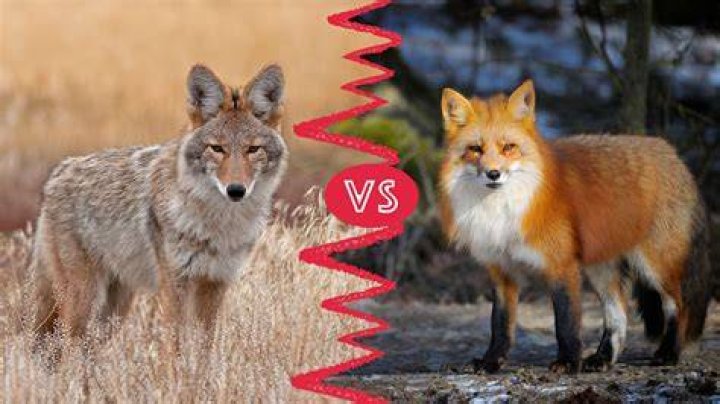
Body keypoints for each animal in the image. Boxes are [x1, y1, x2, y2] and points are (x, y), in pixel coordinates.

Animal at [29, 64, 287, 336]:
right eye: (217, 149)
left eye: (253, 150)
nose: (236, 190)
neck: (220, 224)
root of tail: (59, 171)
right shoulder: (174, 286)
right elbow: (175, 345)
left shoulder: (214, 285)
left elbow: (204, 345)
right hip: (84, 303)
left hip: (115, 309)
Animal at [439, 80, 712, 374]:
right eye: (475, 149)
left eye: (508, 147)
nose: (493, 174)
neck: (503, 211)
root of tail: (673, 153)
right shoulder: (502, 271)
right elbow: (500, 325)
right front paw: (491, 362)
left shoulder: (562, 265)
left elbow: (565, 321)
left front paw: (568, 361)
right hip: (602, 268)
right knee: (619, 316)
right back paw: (602, 358)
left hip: (656, 264)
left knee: (678, 306)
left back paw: (668, 353)